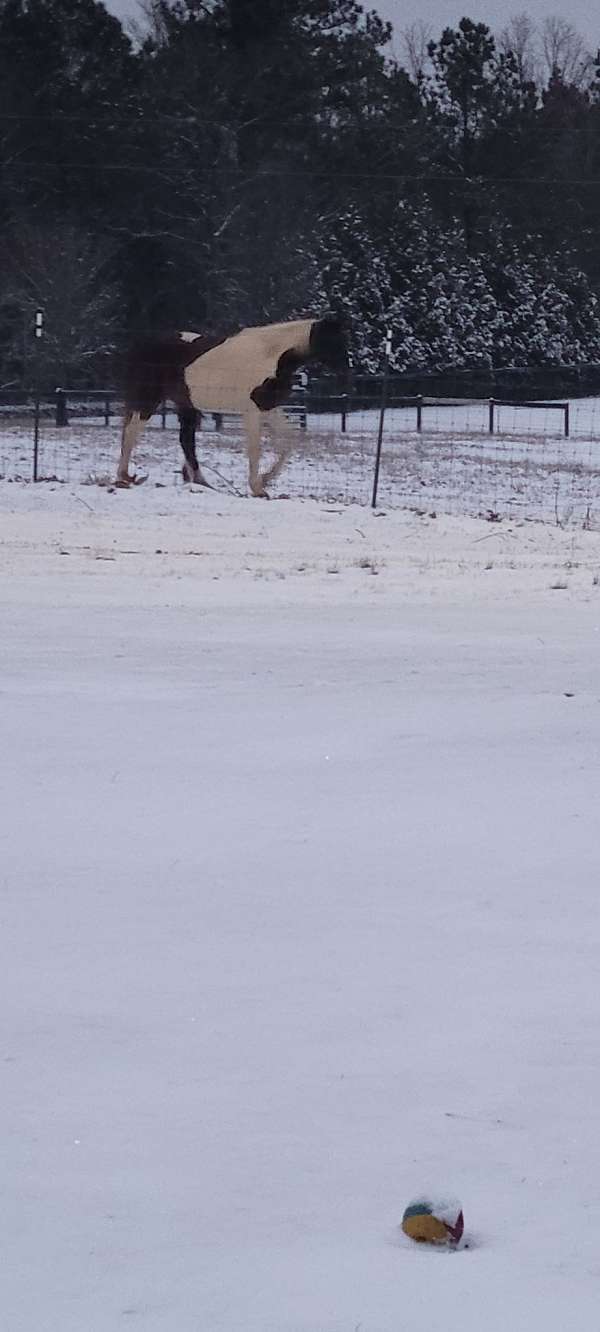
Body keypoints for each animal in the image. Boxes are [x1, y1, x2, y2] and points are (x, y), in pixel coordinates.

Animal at [116, 312, 349, 496]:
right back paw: (123, 478)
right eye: (333, 340)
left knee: (186, 441)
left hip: (186, 405)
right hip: (149, 400)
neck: (272, 354)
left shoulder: (268, 407)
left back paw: (202, 483)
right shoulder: (252, 410)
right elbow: (255, 449)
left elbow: (289, 440)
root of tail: (141, 347)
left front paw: (266, 479)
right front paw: (258, 488)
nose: (346, 372)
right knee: (132, 432)